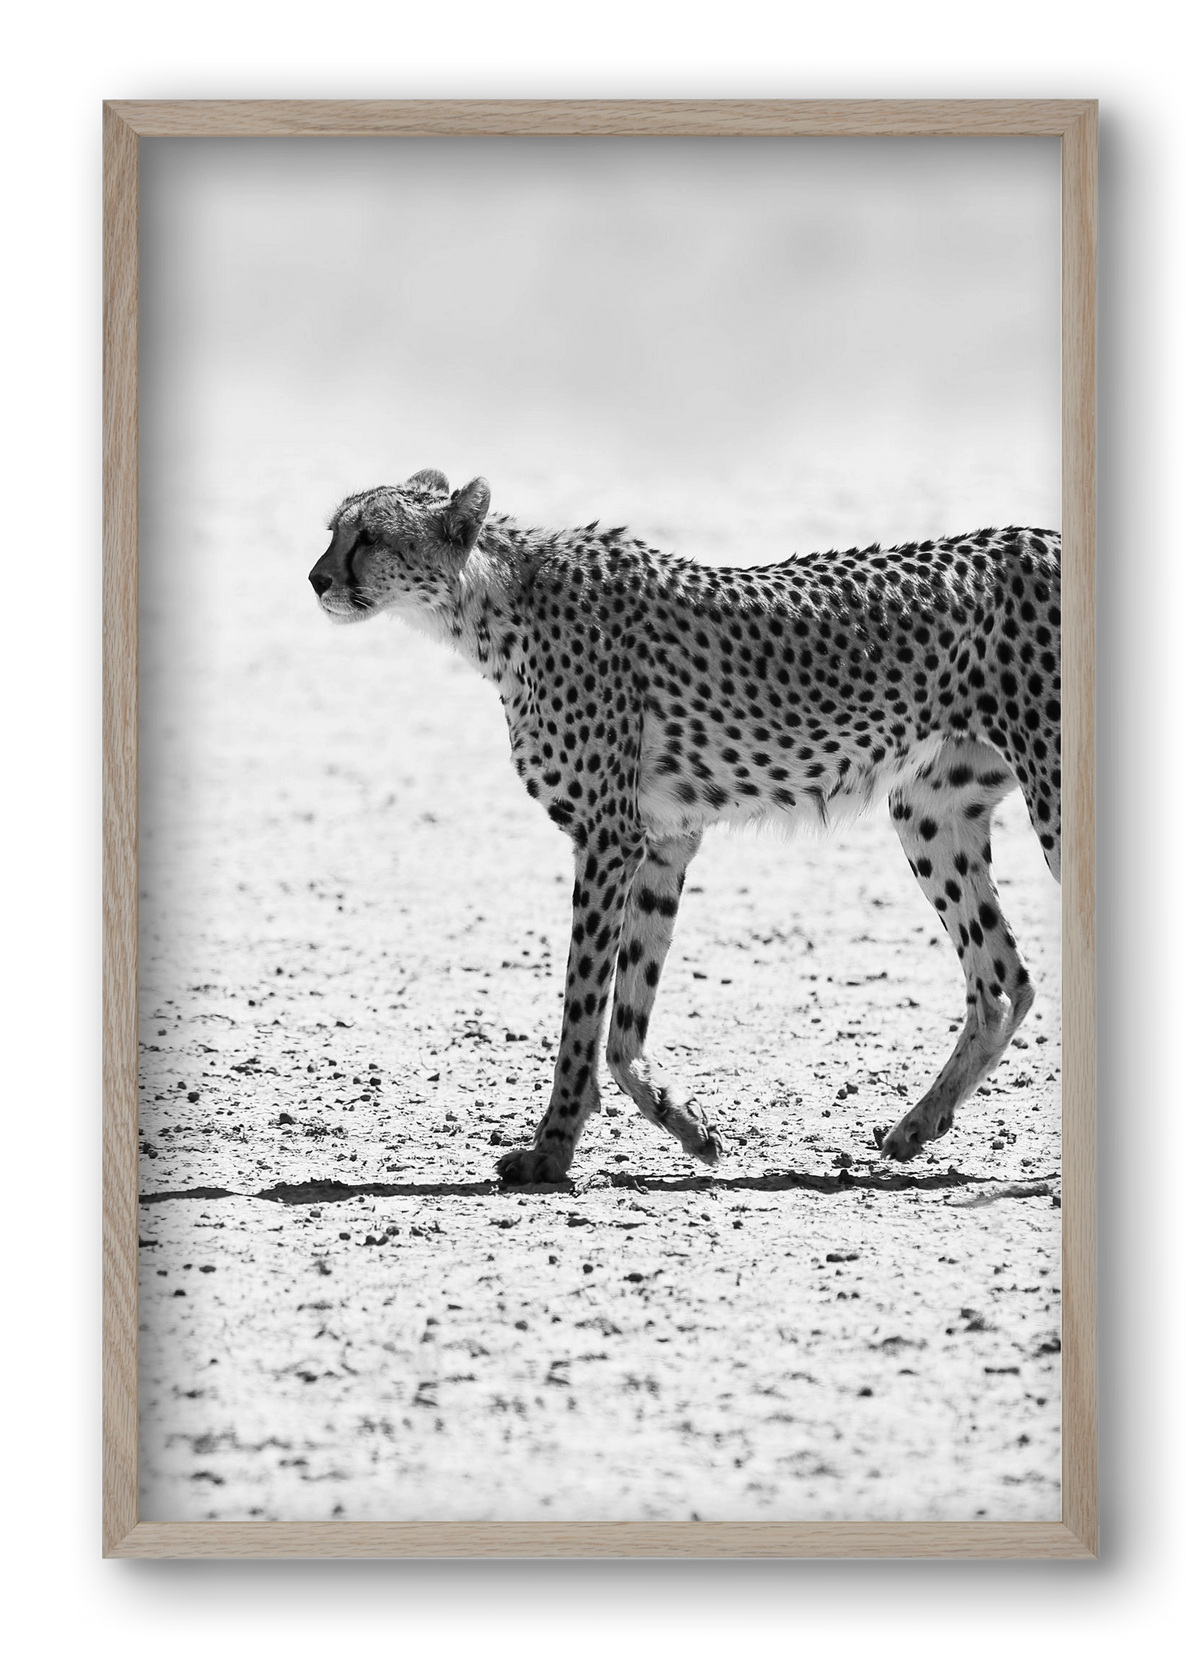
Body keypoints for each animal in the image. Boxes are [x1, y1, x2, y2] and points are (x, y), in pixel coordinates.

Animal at [309, 468, 1061, 1184]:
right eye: (334, 530)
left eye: (369, 536)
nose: (316, 578)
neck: (492, 601)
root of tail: (1043, 535)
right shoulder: (663, 840)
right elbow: (624, 1021)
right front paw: (687, 1124)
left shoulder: (607, 837)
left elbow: (582, 1008)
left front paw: (551, 1151)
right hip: (930, 811)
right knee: (1002, 981)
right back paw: (917, 1126)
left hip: (1048, 797)